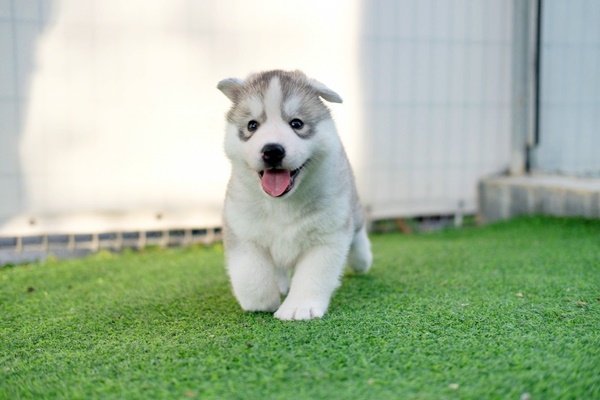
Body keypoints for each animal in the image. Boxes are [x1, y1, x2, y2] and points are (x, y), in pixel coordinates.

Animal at [218, 70, 370, 320]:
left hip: (352, 210)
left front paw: (299, 307)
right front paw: (261, 302)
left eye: (296, 123)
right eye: (252, 125)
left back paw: (362, 260)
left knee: (358, 233)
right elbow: (251, 273)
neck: (282, 204)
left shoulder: (327, 235)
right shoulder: (242, 229)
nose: (272, 150)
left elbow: (312, 275)